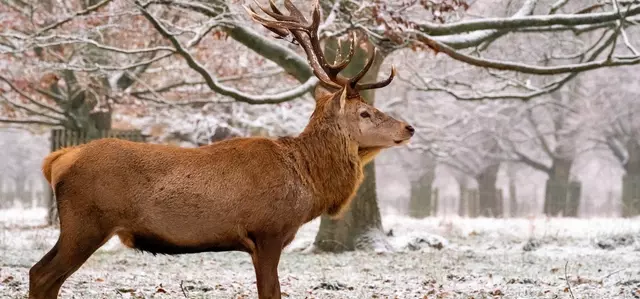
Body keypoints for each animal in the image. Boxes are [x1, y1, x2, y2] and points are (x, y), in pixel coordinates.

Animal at [27, 1, 416, 298]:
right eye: (364, 112)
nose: (409, 127)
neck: (308, 185)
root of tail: (56, 160)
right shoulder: (267, 231)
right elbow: (271, 292)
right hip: (86, 222)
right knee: (42, 275)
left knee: (41, 274)